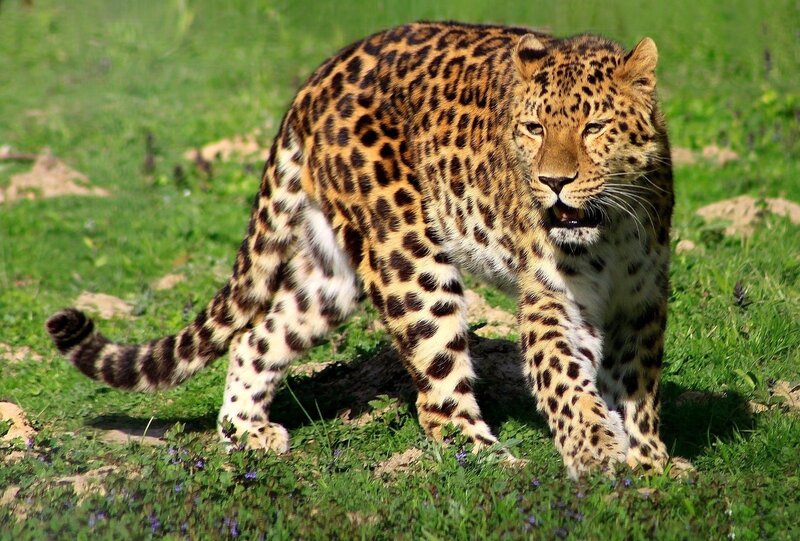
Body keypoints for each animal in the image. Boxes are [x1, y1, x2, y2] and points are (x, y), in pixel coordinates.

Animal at [46, 21, 675, 479]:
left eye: (593, 127)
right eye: (533, 128)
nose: (552, 182)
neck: (612, 227)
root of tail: (319, 76)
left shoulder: (641, 303)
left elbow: (634, 388)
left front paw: (650, 462)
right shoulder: (551, 299)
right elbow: (568, 382)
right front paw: (597, 455)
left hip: (332, 274)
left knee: (258, 334)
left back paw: (245, 431)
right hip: (408, 257)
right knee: (436, 399)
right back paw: (493, 461)